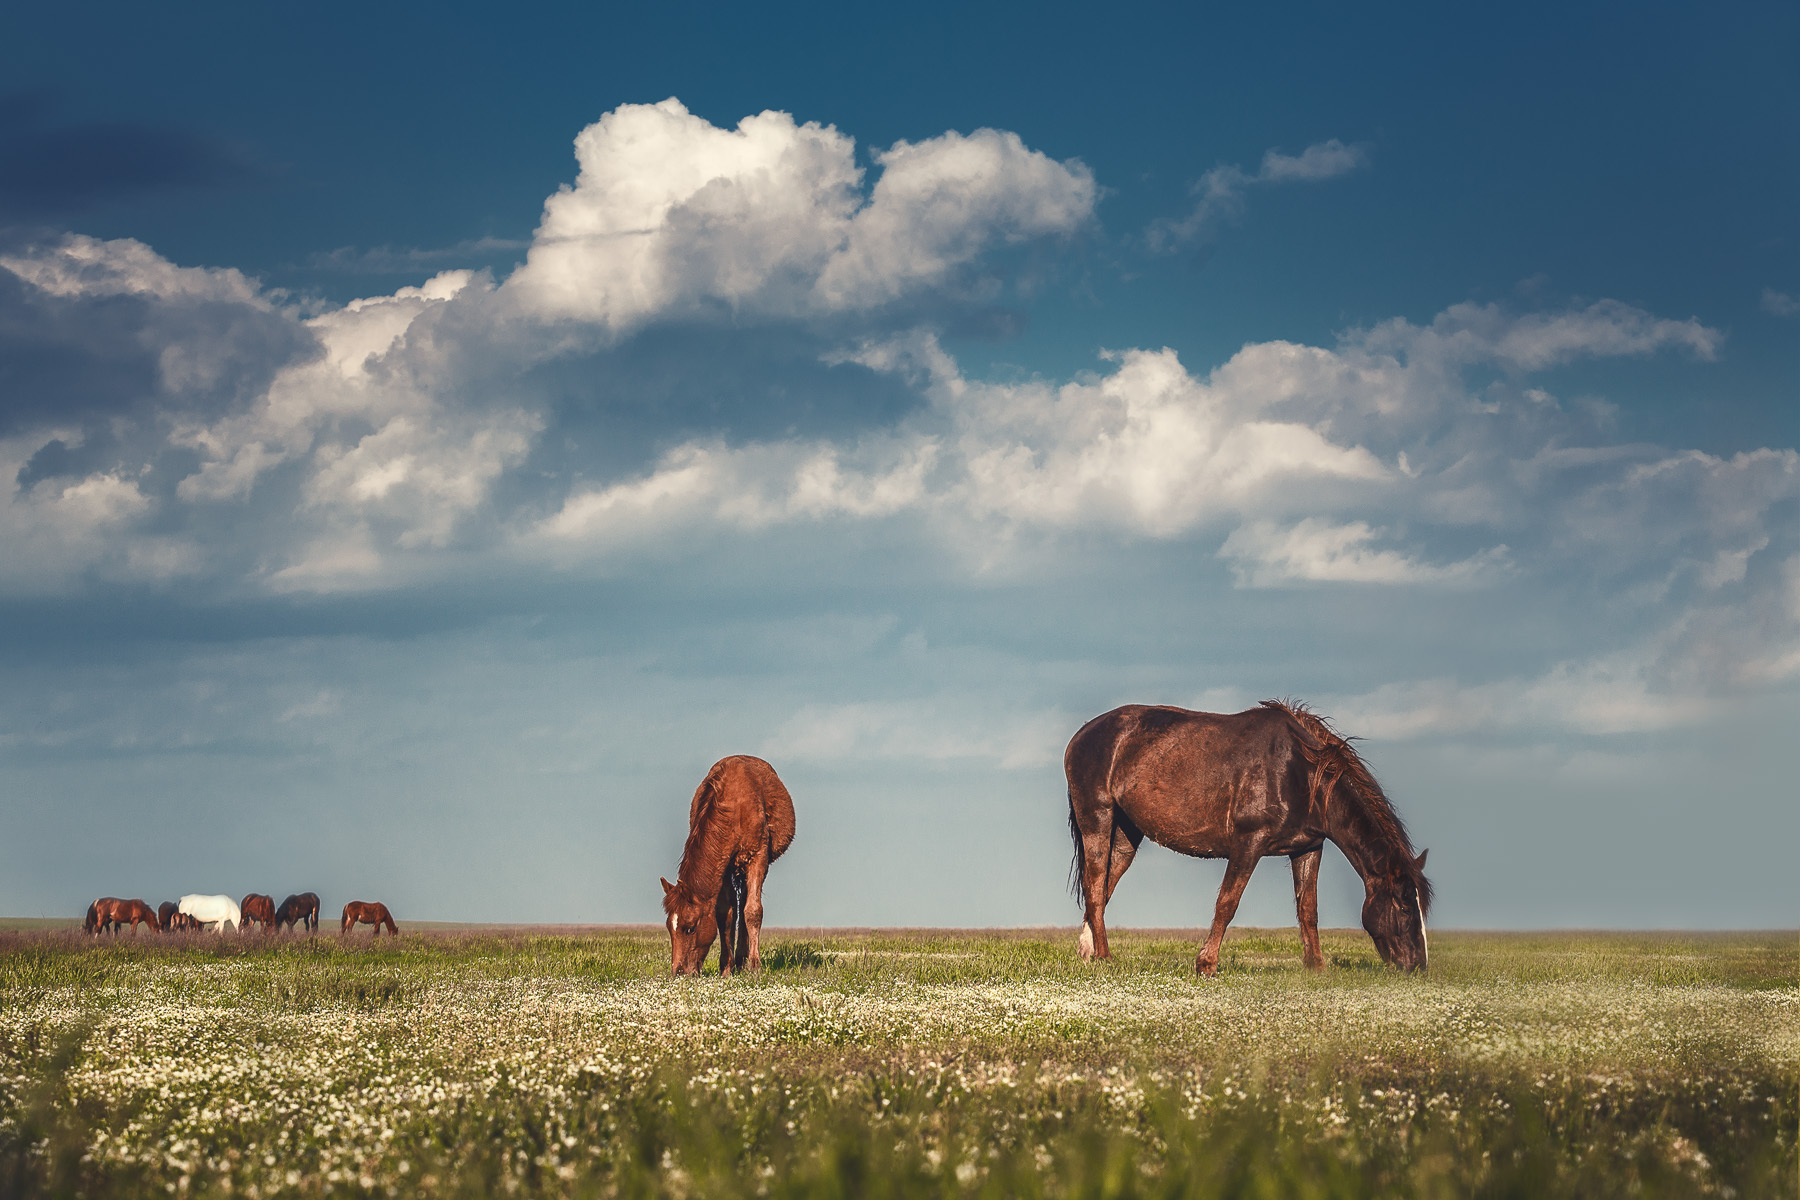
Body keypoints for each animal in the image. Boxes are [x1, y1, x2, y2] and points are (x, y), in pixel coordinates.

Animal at [662, 759, 795, 978]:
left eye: (690, 928)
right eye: (669, 927)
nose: (678, 972)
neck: (733, 809)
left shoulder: (757, 857)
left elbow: (753, 911)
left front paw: (755, 966)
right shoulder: (723, 868)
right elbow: (725, 914)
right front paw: (726, 966)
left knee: (747, 904)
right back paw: (738, 960)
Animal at [1065, 705, 1432, 978]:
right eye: (1403, 905)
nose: (1417, 966)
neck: (1300, 774)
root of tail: (1081, 735)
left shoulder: (1308, 847)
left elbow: (1308, 908)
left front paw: (1316, 966)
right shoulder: (1248, 842)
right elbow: (1227, 903)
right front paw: (1206, 964)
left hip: (1126, 834)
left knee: (1104, 888)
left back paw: (1087, 952)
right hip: (1098, 817)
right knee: (1095, 886)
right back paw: (1105, 957)